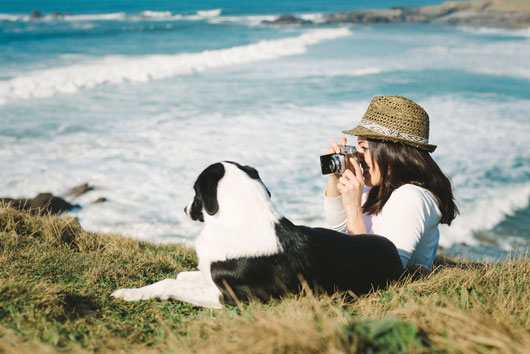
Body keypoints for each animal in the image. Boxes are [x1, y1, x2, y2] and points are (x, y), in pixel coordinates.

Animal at [111, 162, 400, 308]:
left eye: (195, 190)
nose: (184, 209)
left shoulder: (229, 297)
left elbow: (170, 283)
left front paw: (129, 293)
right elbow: (182, 275)